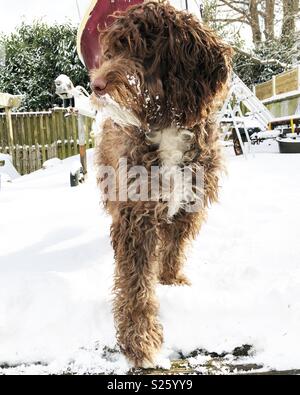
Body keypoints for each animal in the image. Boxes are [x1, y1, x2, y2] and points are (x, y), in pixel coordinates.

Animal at [90, 1, 233, 370]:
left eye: (140, 48)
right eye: (111, 50)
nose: (96, 85)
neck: (166, 125)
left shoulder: (189, 204)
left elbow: (174, 247)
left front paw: (170, 281)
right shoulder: (134, 215)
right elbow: (135, 281)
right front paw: (140, 340)